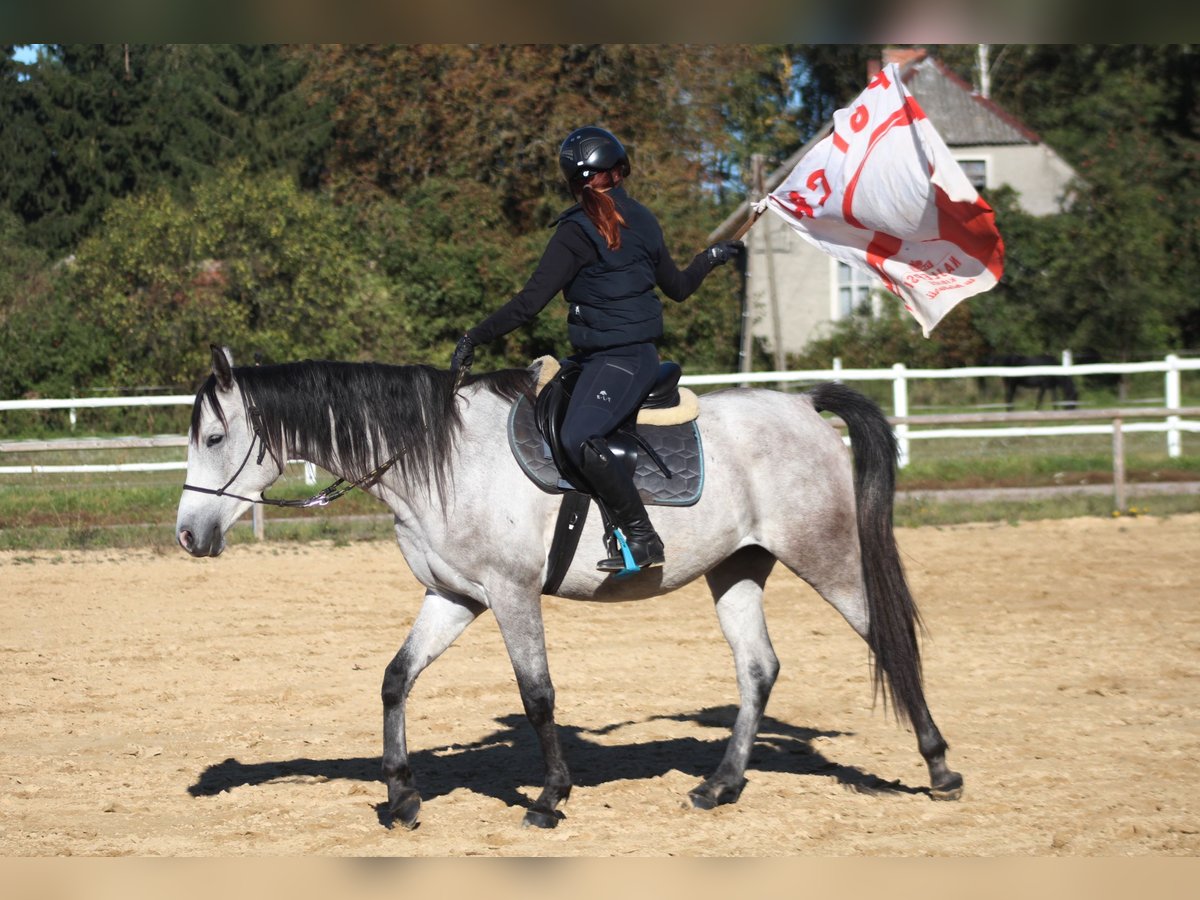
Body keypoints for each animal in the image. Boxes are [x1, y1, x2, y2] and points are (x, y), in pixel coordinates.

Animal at [175, 345, 964, 830]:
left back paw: (938, 766)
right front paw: (400, 794)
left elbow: (538, 694)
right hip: (737, 567)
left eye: (213, 438)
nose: (187, 535)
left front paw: (550, 797)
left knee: (887, 640)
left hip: (824, 555)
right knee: (757, 668)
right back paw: (721, 784)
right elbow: (397, 679)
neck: (446, 458)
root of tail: (802, 404)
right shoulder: (455, 598)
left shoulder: (511, 594)